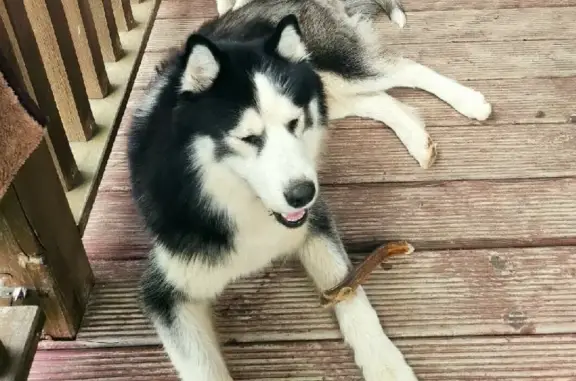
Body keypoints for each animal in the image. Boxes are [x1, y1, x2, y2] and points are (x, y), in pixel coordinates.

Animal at [128, 0, 492, 378]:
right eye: (248, 138)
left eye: (293, 124)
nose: (303, 194)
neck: (234, 200)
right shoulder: (164, 290)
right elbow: (202, 368)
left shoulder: (316, 222)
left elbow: (352, 295)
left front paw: (386, 367)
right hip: (327, 95)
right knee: (379, 99)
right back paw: (418, 139)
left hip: (337, 71)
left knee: (404, 68)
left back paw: (470, 101)